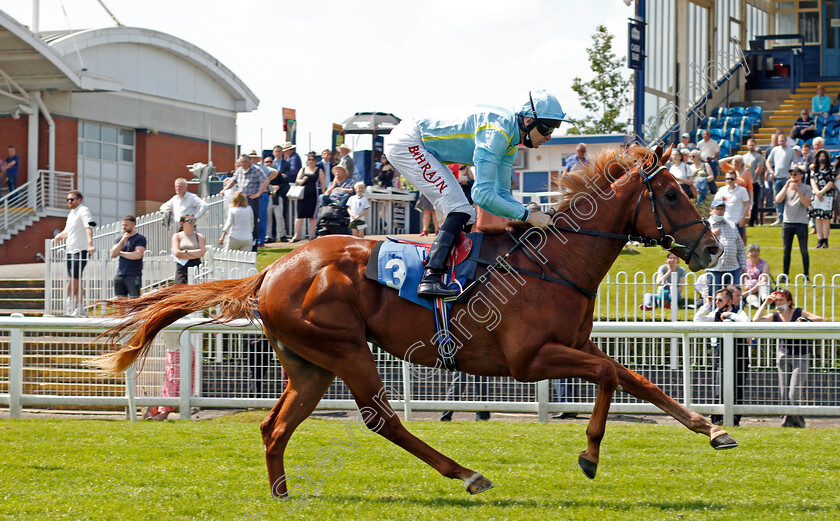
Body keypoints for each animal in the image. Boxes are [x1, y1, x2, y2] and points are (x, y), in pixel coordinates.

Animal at [97, 142, 736, 496]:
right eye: (673, 194)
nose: (711, 249)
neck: (556, 263)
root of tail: (273, 268)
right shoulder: (528, 360)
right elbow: (609, 377)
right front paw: (591, 454)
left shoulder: (574, 346)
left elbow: (634, 379)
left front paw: (711, 429)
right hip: (346, 350)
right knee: (381, 420)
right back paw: (467, 474)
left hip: (310, 364)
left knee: (275, 426)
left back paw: (281, 493)